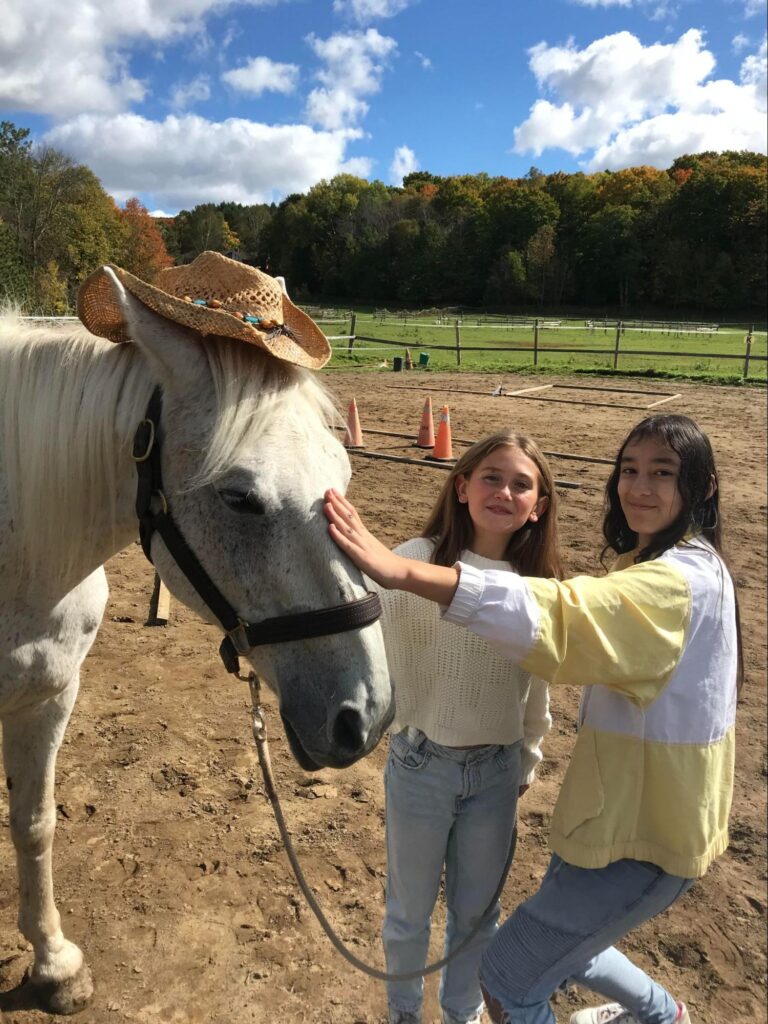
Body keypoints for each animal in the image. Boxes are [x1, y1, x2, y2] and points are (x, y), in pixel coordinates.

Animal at [0, 278, 393, 1015]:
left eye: (344, 471)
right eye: (239, 497)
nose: (367, 715)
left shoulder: (50, 693)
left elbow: (34, 823)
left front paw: (55, 965)